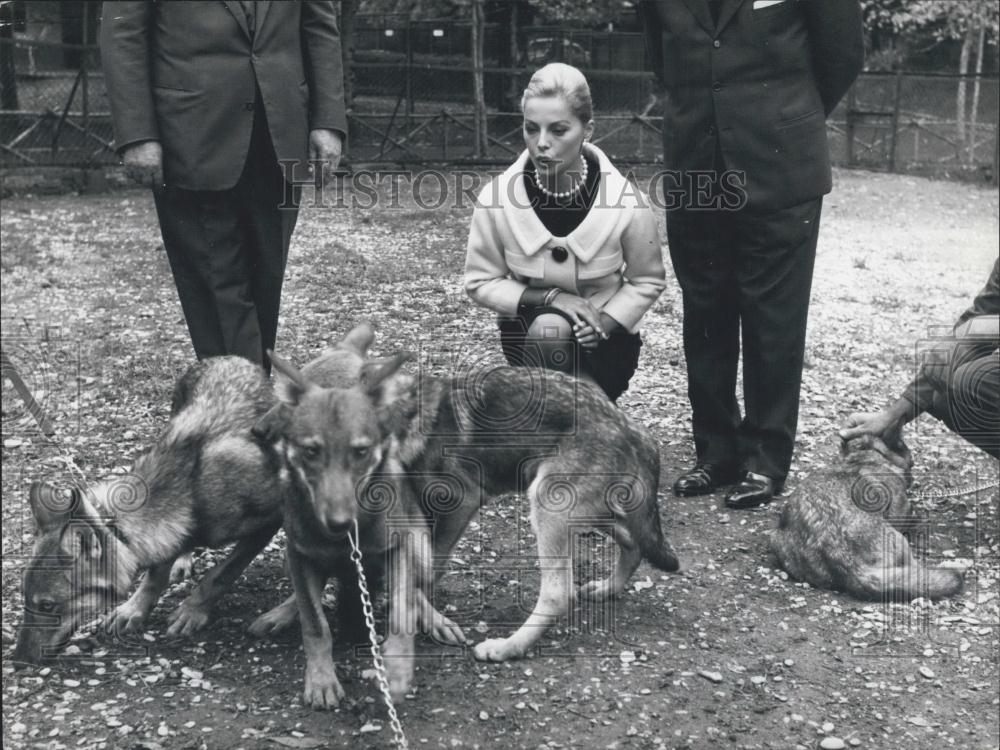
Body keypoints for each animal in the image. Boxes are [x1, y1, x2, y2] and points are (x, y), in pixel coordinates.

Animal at [258, 350, 680, 708]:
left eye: (290, 405)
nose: (257, 431)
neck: (406, 422)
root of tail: (634, 429)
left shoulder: (456, 506)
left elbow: (424, 571)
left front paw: (423, 620)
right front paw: (284, 611)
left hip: (548, 505)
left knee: (559, 592)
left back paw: (508, 646)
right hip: (590, 511)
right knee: (634, 543)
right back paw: (608, 587)